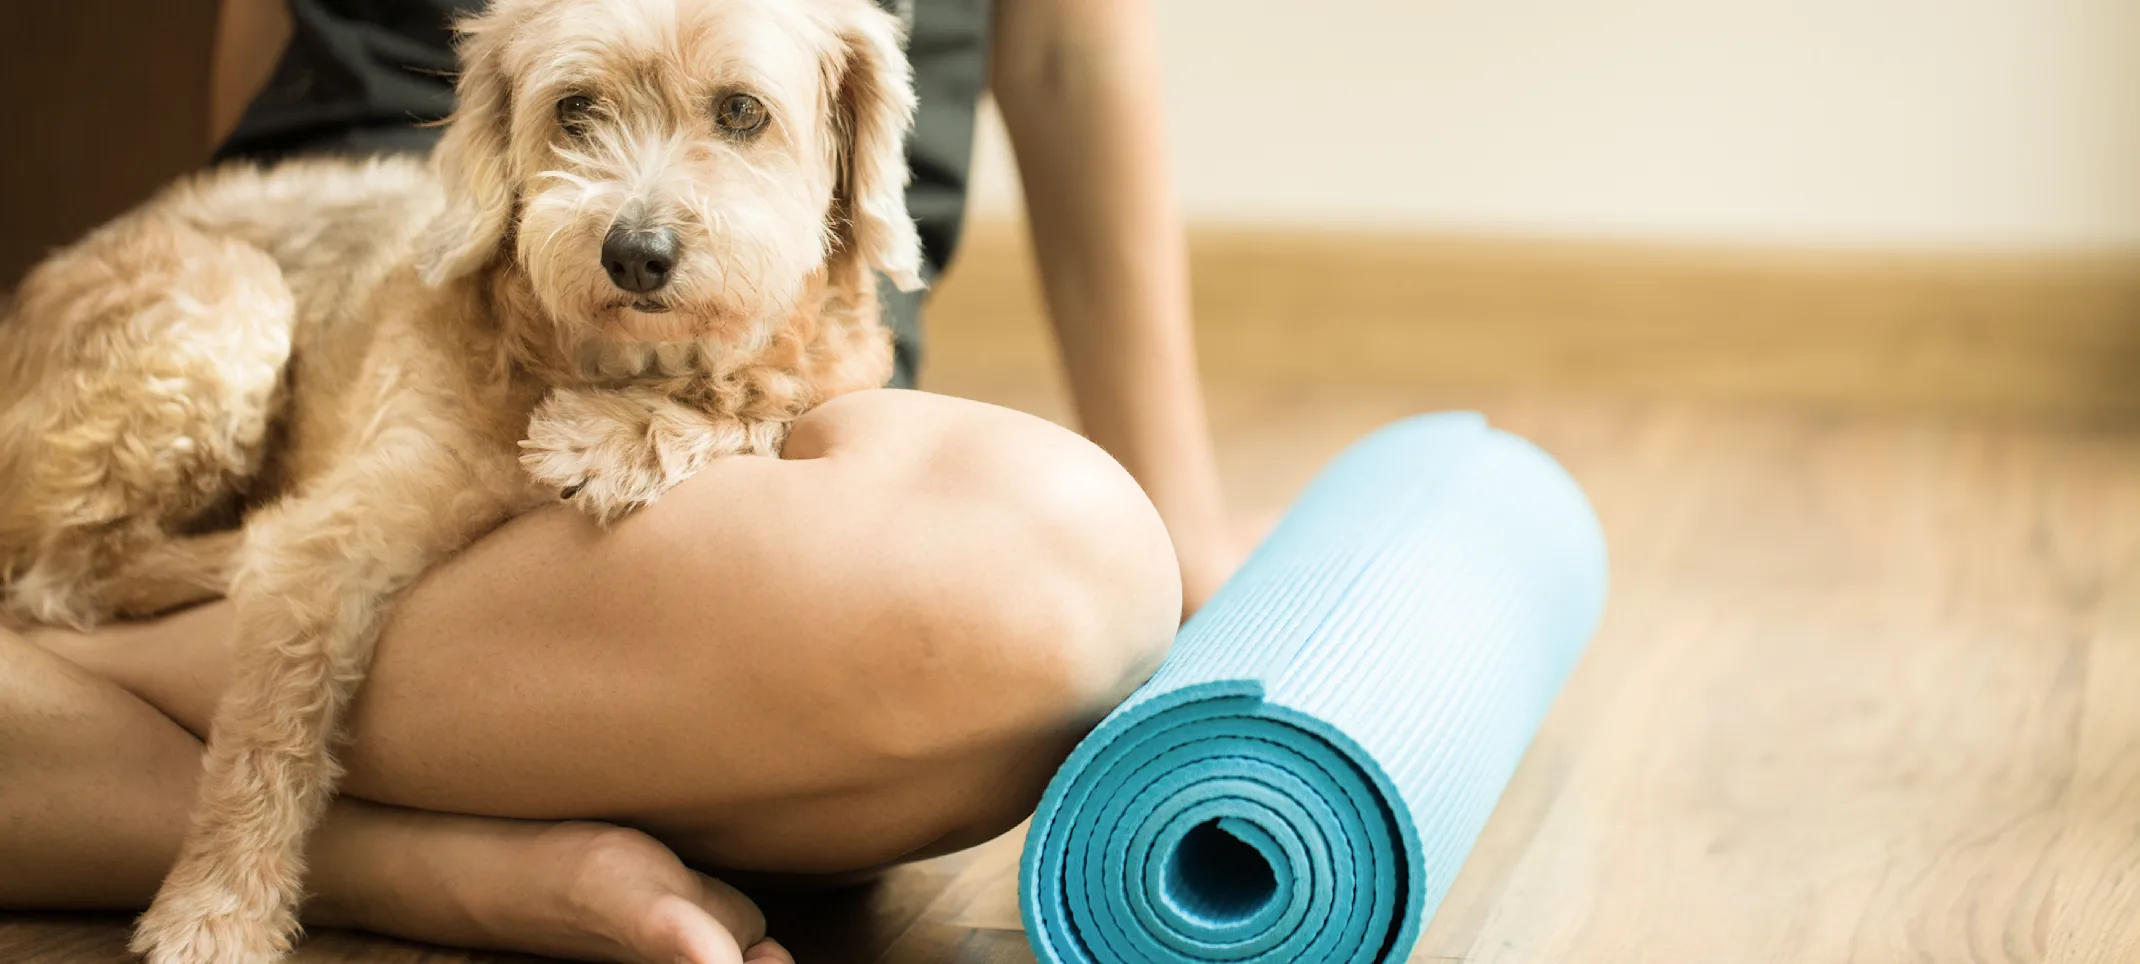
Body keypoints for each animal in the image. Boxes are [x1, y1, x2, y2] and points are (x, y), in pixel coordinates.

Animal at [0, 0, 920, 959]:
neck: (605, 359)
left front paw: (611, 438)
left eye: (742, 111)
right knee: (65, 575)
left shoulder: (820, 373)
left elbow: (760, 396)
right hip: (225, 315)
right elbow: (267, 735)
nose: (635, 253)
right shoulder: (326, 548)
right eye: (574, 107)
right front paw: (216, 913)